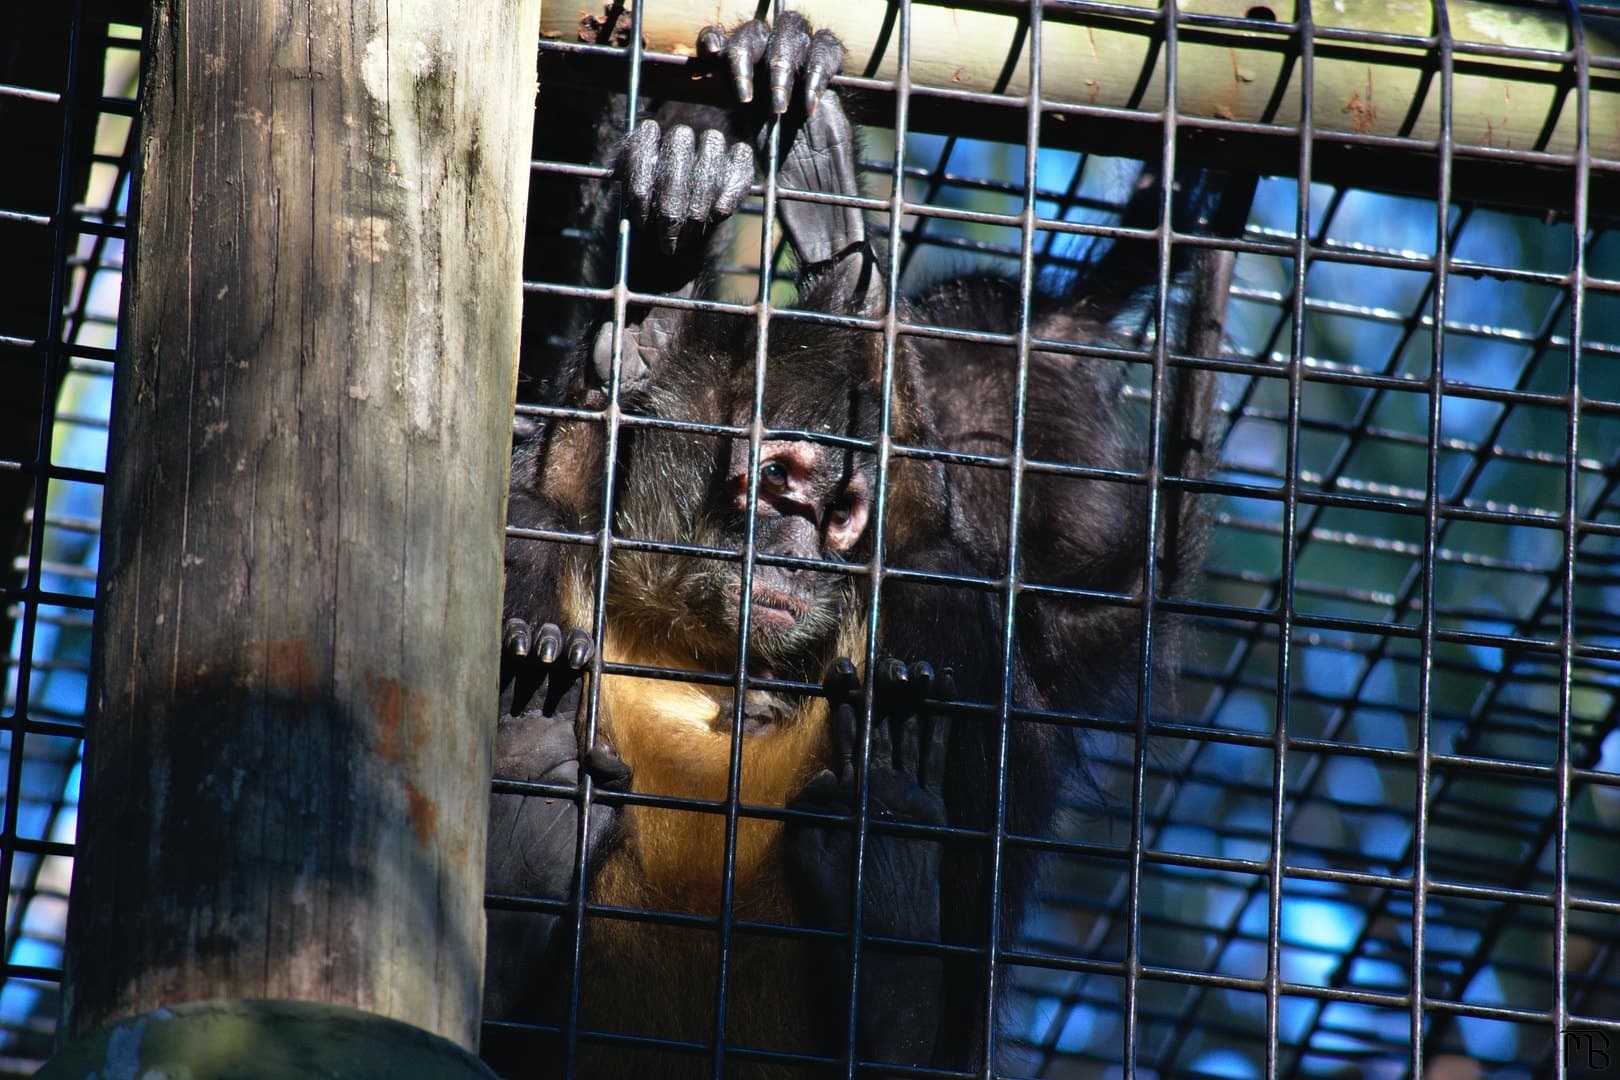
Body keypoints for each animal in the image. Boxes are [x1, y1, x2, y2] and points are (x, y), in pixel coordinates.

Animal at [479, 12, 1250, 1075]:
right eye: (777, 484)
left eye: (840, 507)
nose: (805, 549)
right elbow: (551, 483)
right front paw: (659, 295)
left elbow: (925, 538)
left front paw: (835, 259)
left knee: (941, 584)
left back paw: (889, 936)